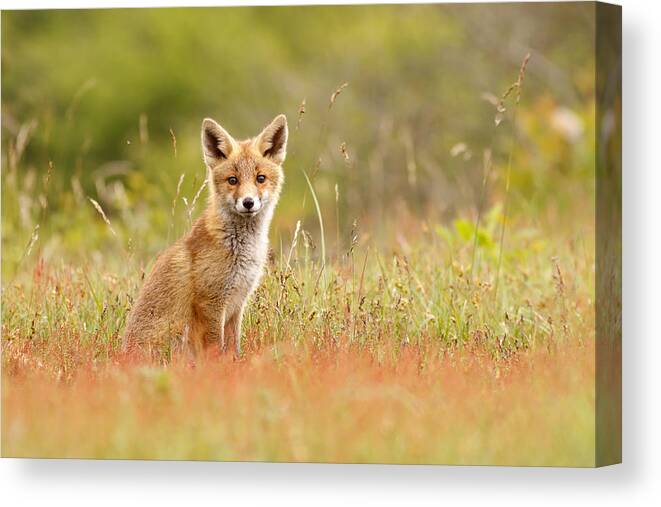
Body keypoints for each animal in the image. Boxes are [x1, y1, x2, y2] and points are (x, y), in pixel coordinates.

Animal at [122, 115, 288, 360]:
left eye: (260, 178)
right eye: (232, 180)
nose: (248, 202)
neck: (241, 249)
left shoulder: (237, 302)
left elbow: (234, 347)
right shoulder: (211, 302)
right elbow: (216, 347)